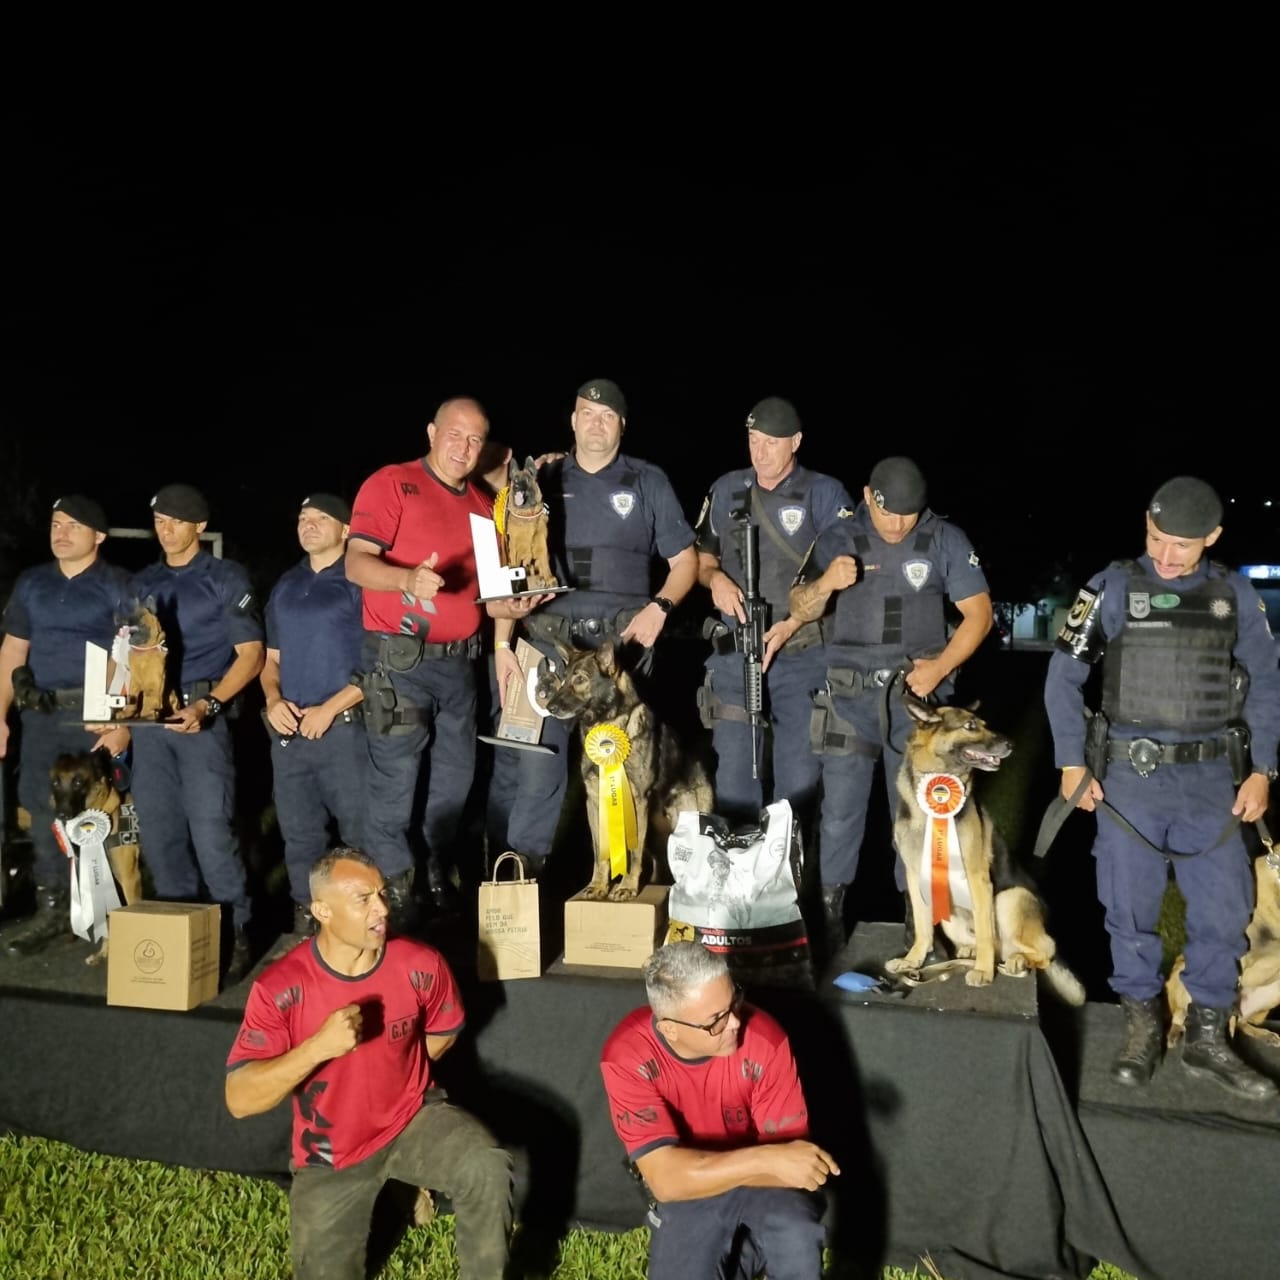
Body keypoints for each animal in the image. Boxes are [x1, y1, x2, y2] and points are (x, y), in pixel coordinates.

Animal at [49, 747, 144, 962]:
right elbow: (106, 920)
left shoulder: (130, 880)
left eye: (77, 782)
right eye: (56, 783)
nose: (61, 815)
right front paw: (104, 953)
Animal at [501, 458, 558, 591]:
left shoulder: (542, 545)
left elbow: (544, 563)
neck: (527, 515)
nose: (516, 486)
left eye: (526, 479)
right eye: (515, 480)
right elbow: (515, 566)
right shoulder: (514, 548)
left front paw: (549, 578)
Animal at [537, 637, 716, 901]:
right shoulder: (595, 802)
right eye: (564, 677)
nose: (549, 706)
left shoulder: (637, 802)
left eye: (580, 679)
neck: (608, 726)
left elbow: (633, 852)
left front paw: (627, 887)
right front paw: (598, 885)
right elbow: (600, 853)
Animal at [890, 696, 1090, 1003]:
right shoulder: (915, 876)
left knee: (1043, 952)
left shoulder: (978, 878)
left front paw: (983, 972)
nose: (1011, 744)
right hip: (950, 917)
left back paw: (1016, 960)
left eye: (984, 724)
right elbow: (923, 928)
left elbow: (986, 933)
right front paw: (912, 961)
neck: (937, 787)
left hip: (1009, 898)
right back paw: (971, 952)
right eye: (970, 726)